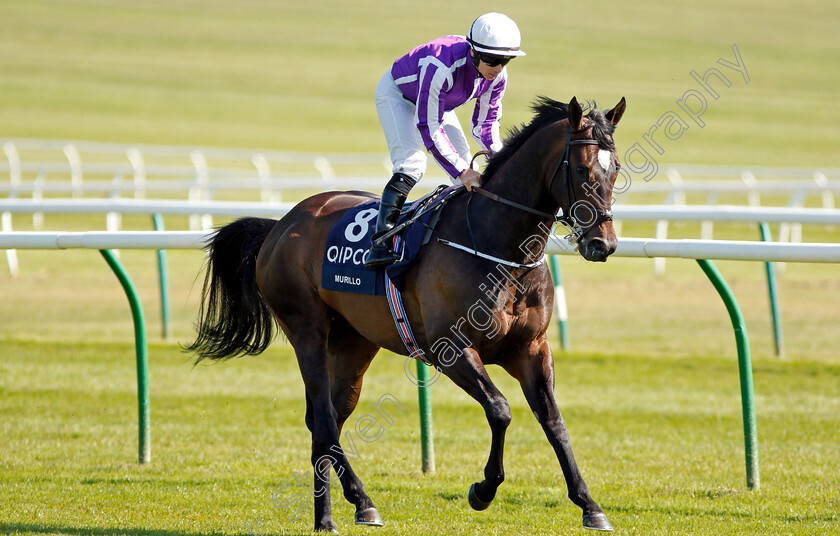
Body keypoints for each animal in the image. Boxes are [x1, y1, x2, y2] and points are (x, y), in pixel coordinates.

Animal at [187, 96, 628, 532]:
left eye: (616, 169)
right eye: (582, 168)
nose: (602, 244)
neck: (498, 246)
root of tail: (282, 224)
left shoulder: (531, 349)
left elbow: (554, 421)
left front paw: (589, 505)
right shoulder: (451, 349)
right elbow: (500, 410)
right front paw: (483, 490)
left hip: (354, 342)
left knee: (328, 418)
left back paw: (326, 516)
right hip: (306, 329)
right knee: (325, 419)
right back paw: (360, 501)